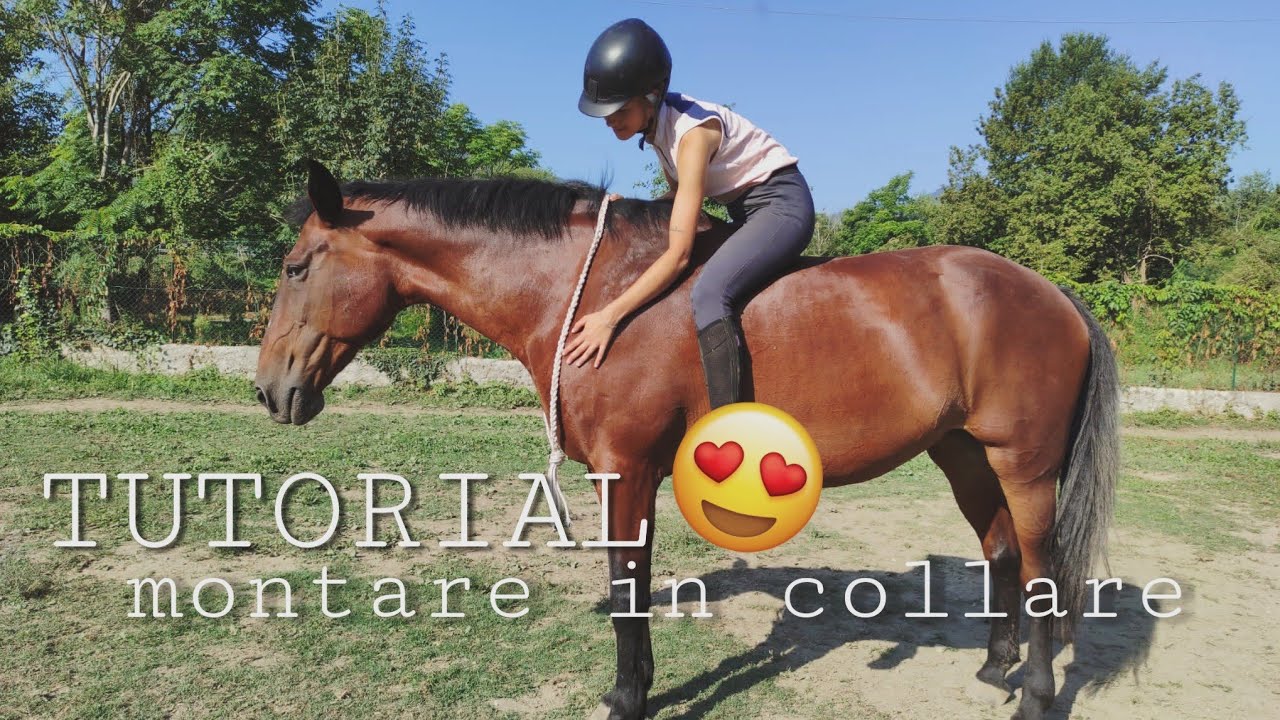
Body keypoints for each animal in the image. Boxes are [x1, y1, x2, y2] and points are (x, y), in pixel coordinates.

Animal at [255, 160, 1119, 720]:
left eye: (296, 266)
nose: (269, 389)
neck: (596, 297)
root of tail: (1051, 292)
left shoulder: (627, 470)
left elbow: (626, 591)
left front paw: (628, 697)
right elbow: (631, 585)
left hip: (1025, 465)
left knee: (1041, 568)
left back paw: (1037, 694)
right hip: (964, 453)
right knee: (1001, 551)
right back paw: (996, 667)